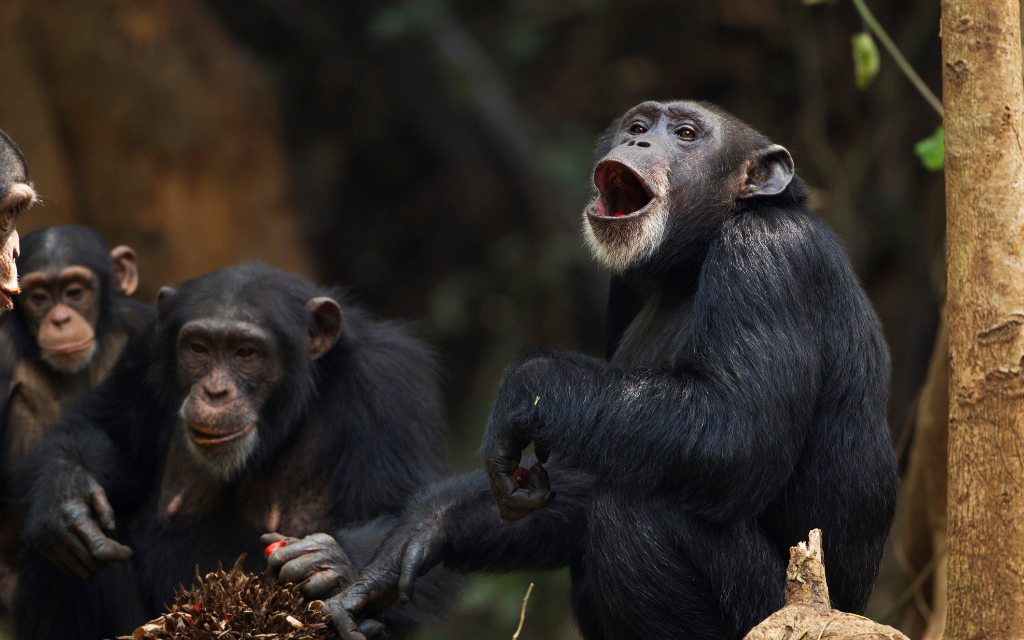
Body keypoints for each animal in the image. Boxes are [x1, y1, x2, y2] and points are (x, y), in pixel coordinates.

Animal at [18, 261, 458, 638]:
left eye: (246, 352)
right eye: (198, 348)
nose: (215, 391)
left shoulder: (391, 384)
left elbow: (411, 529)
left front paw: (329, 562)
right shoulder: (141, 353)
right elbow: (104, 430)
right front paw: (67, 492)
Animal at [294, 100, 897, 638]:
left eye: (685, 133)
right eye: (639, 125)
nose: (638, 142)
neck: (693, 260)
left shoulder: (770, 259)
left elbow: (737, 432)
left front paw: (523, 390)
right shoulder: (622, 291)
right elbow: (600, 456)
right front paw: (416, 533)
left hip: (769, 610)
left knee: (636, 512)